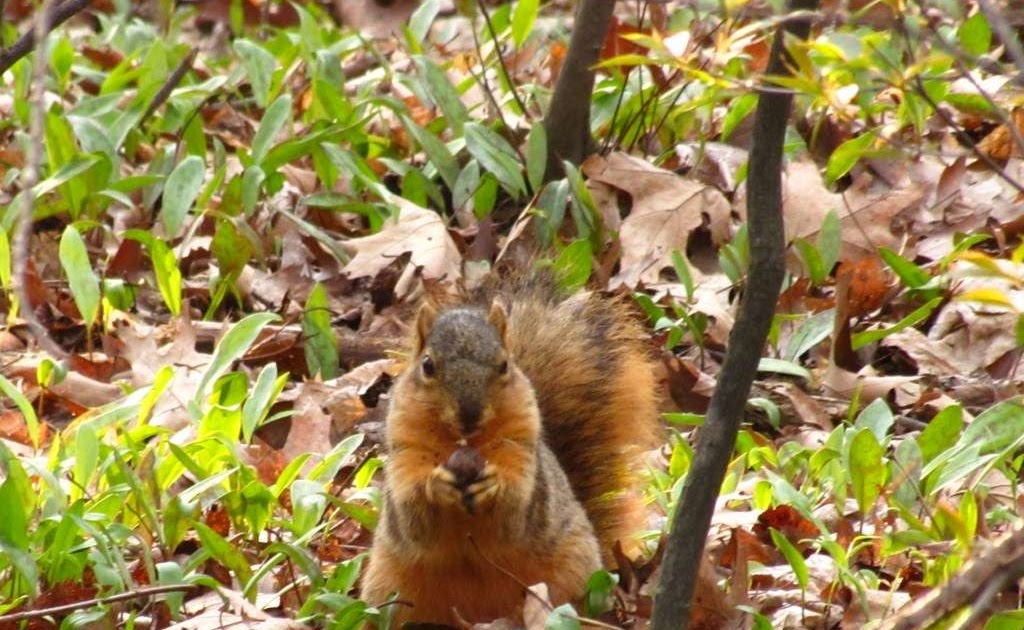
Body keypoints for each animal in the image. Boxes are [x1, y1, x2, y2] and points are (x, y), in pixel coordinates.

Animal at [359, 284, 663, 626]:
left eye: (504, 364)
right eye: (427, 365)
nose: (469, 413)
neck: (464, 442)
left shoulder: (522, 452)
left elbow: (515, 508)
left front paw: (494, 485)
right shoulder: (405, 452)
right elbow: (413, 514)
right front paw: (436, 485)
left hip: (571, 572)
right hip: (388, 587)